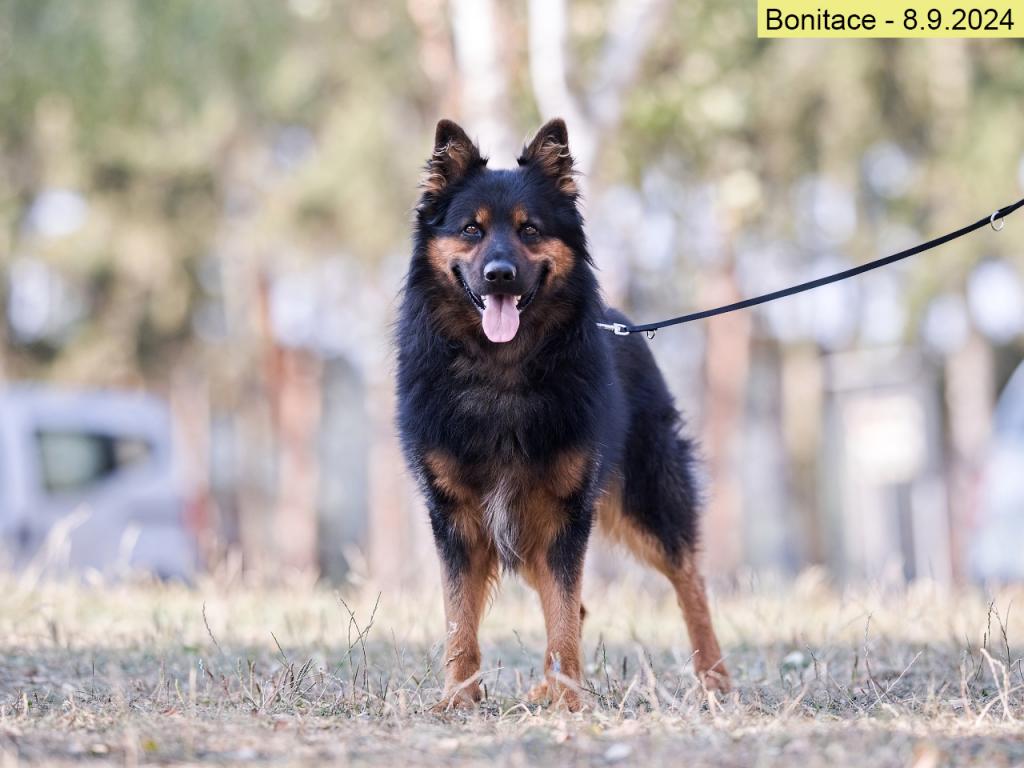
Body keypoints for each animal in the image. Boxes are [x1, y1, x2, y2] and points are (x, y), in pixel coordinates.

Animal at [396, 118, 729, 711]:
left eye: (529, 230)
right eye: (471, 229)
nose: (500, 275)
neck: (502, 369)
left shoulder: (563, 516)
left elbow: (561, 617)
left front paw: (570, 702)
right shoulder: (456, 519)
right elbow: (461, 619)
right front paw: (458, 698)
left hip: (645, 500)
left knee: (688, 579)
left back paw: (713, 677)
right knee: (579, 605)